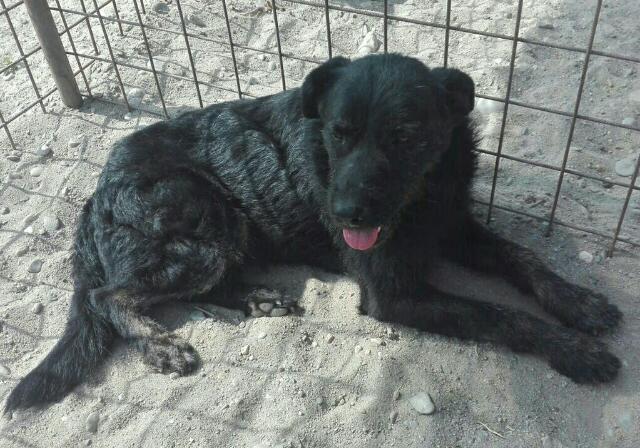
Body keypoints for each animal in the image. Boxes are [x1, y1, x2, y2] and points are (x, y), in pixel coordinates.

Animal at [4, 54, 622, 412]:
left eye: (405, 135)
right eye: (337, 131)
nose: (345, 213)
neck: (421, 200)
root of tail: (97, 190)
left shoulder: (455, 228)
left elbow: (524, 260)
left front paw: (580, 302)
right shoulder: (393, 294)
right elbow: (496, 314)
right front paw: (573, 349)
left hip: (224, 238)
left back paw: (260, 299)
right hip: (207, 224)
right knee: (109, 294)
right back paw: (160, 345)